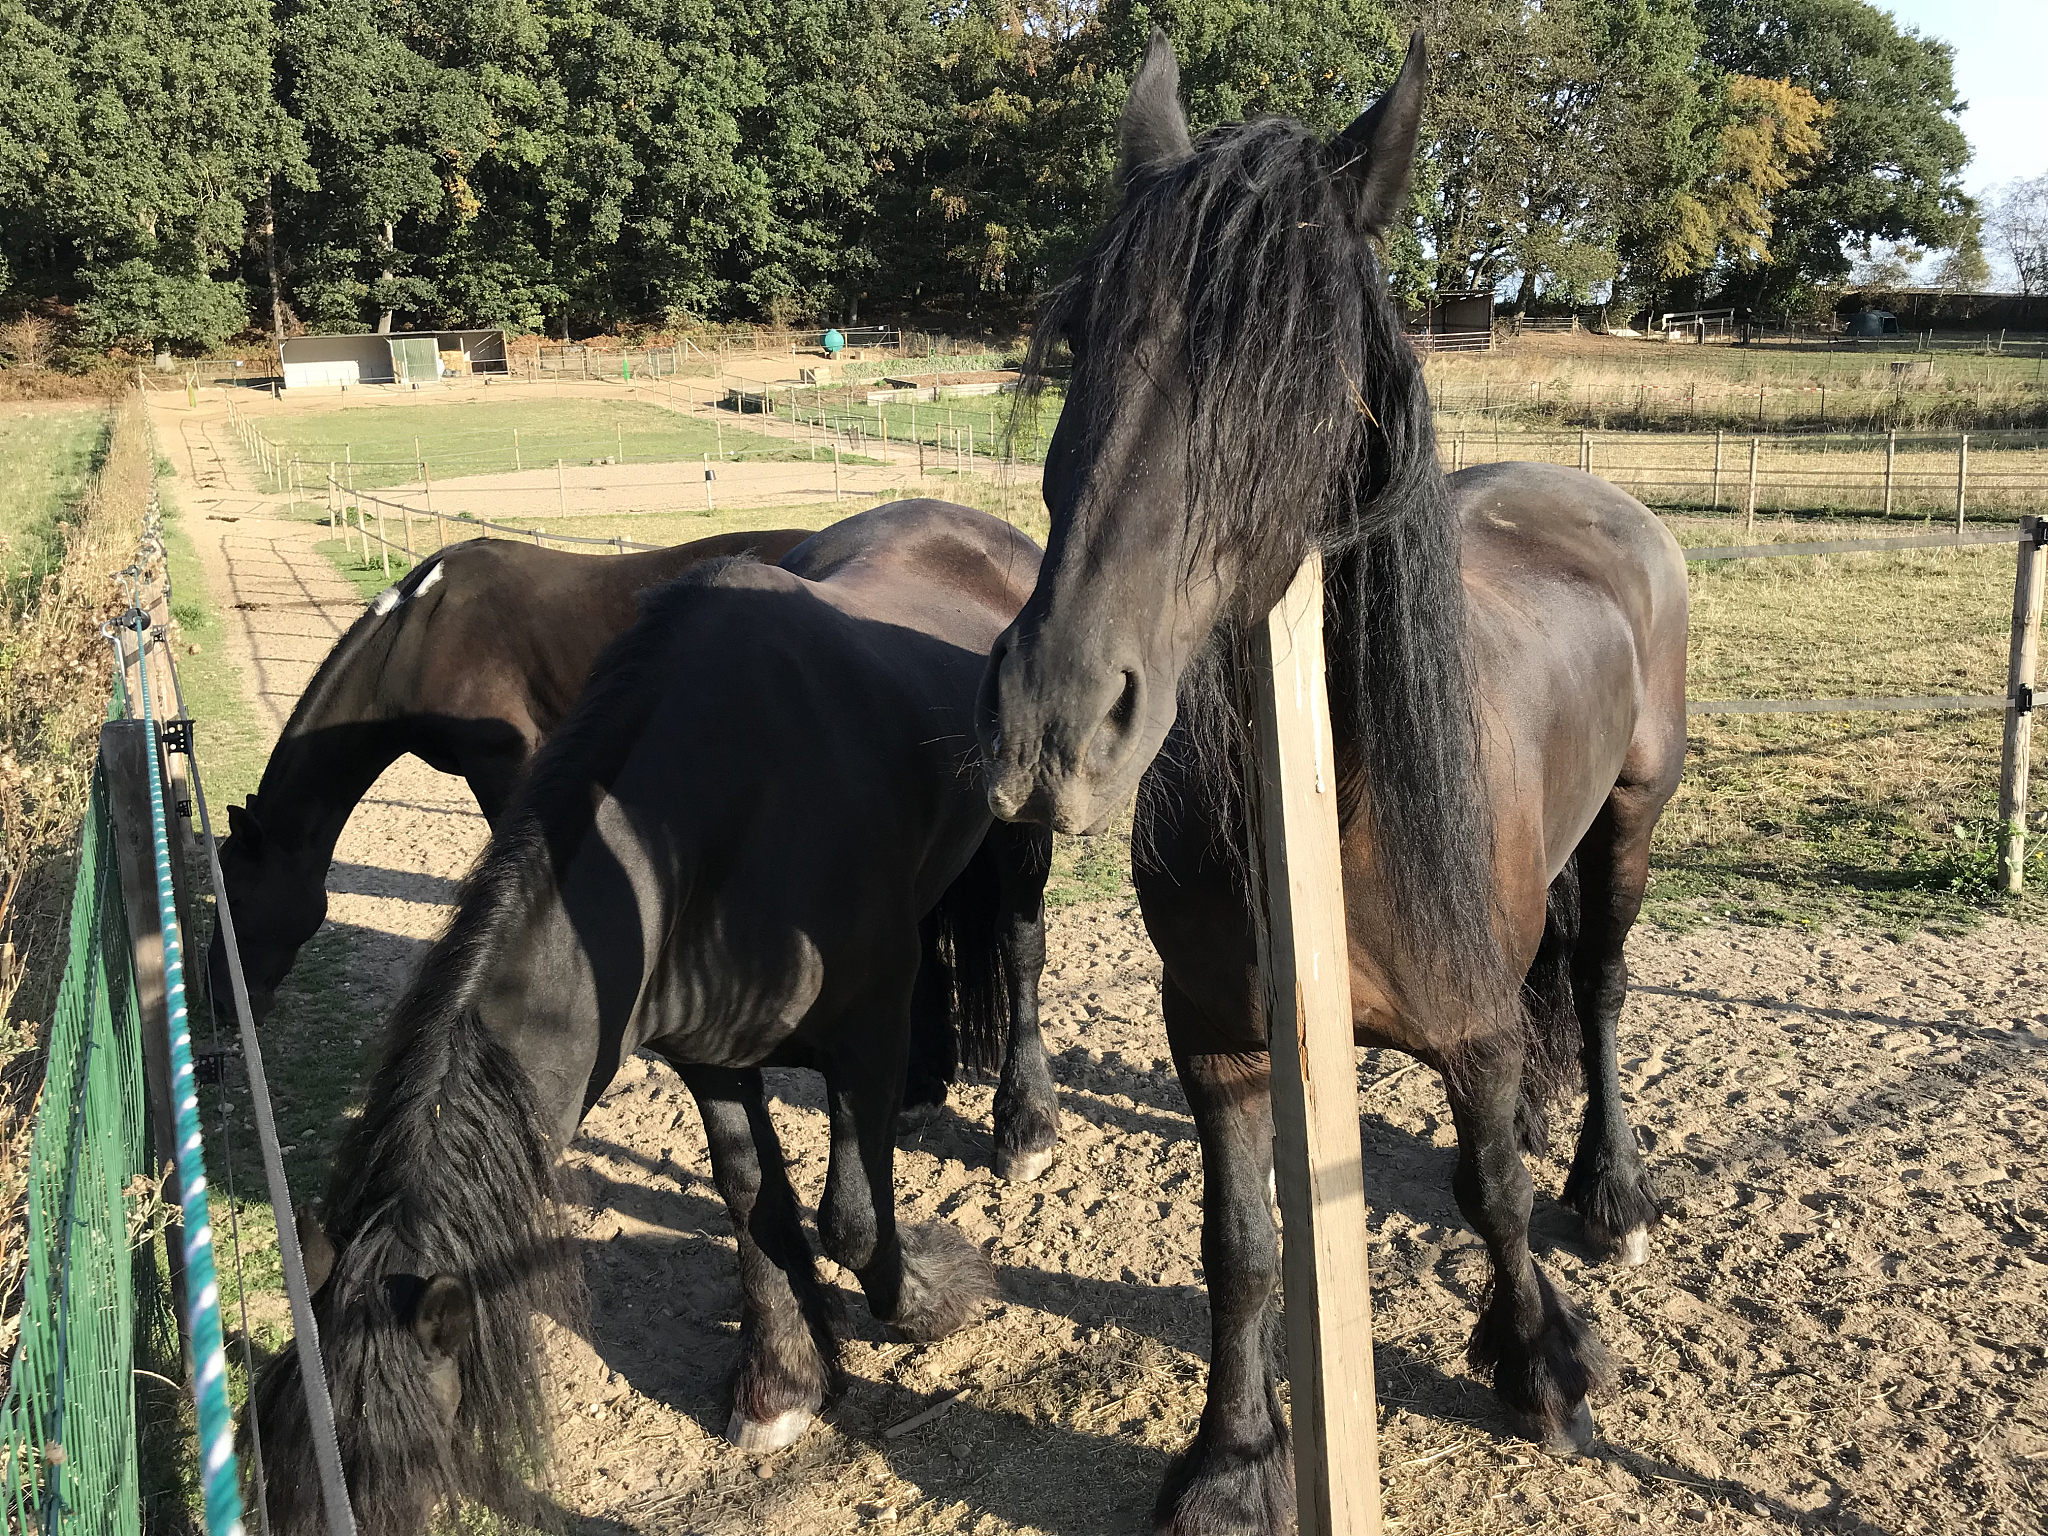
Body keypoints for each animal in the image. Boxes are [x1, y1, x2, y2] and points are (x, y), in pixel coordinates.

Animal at [977, 32, 1688, 1535]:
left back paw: (1610, 1189)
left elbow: (1493, 1194)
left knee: (1597, 990)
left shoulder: (1468, 1029)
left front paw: (1541, 1367)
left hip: (1632, 820)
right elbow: (1243, 1246)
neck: (1331, 806)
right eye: (1081, 340)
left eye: (1299, 370)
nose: (1053, 722)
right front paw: (1234, 1458)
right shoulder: (1219, 1041)